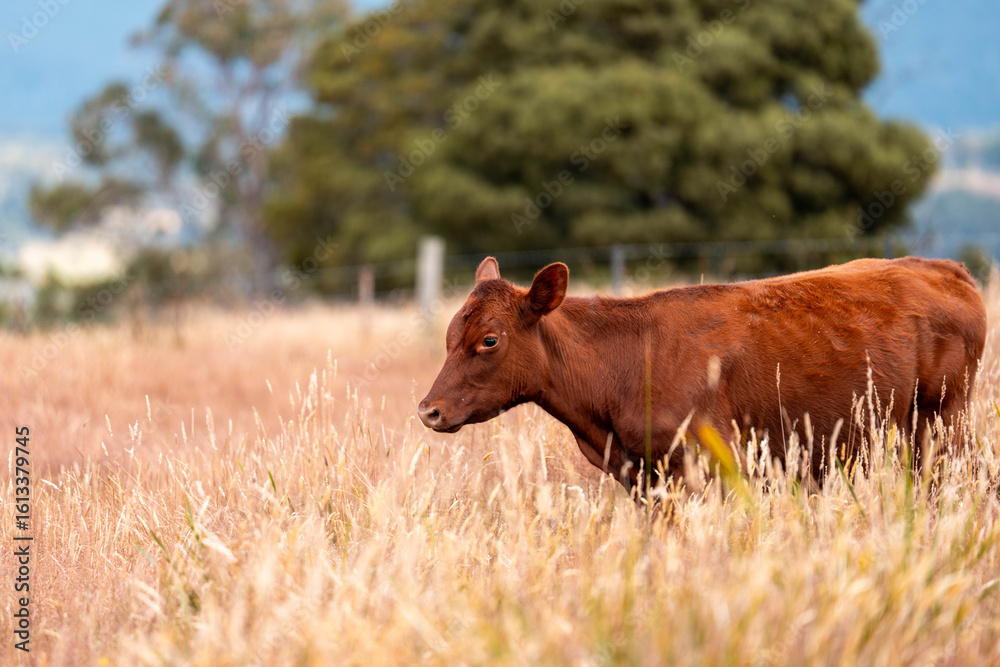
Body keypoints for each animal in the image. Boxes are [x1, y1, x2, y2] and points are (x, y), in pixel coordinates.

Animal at [418, 256, 987, 489]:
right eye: (448, 335)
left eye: (489, 340)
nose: (429, 411)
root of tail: (944, 267)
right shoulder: (640, 476)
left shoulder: (712, 460)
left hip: (942, 420)